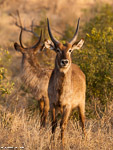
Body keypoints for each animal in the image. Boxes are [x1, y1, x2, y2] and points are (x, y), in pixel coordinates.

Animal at [44, 18, 86, 146]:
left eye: (70, 50)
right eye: (57, 50)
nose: (65, 62)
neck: (60, 90)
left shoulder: (67, 105)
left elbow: (63, 124)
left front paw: (62, 144)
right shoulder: (52, 104)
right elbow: (54, 124)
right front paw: (52, 143)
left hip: (81, 104)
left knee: (82, 121)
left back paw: (86, 140)